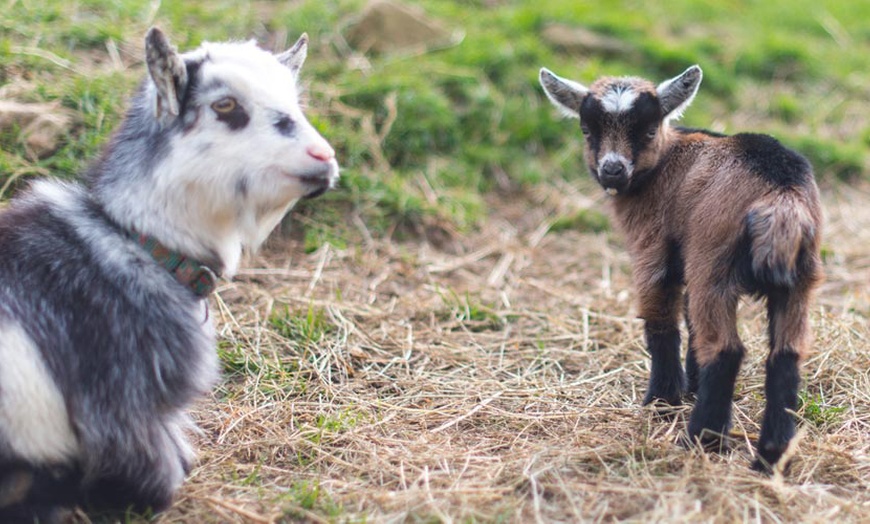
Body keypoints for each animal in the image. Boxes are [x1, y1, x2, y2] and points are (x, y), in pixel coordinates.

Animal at [540, 64, 824, 470]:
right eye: (587, 130)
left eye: (647, 129)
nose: (612, 170)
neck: (665, 161)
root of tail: (781, 198)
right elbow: (690, 321)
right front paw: (689, 387)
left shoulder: (652, 249)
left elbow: (660, 323)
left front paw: (662, 401)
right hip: (799, 275)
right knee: (785, 355)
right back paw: (770, 456)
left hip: (714, 263)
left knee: (725, 349)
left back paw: (700, 439)